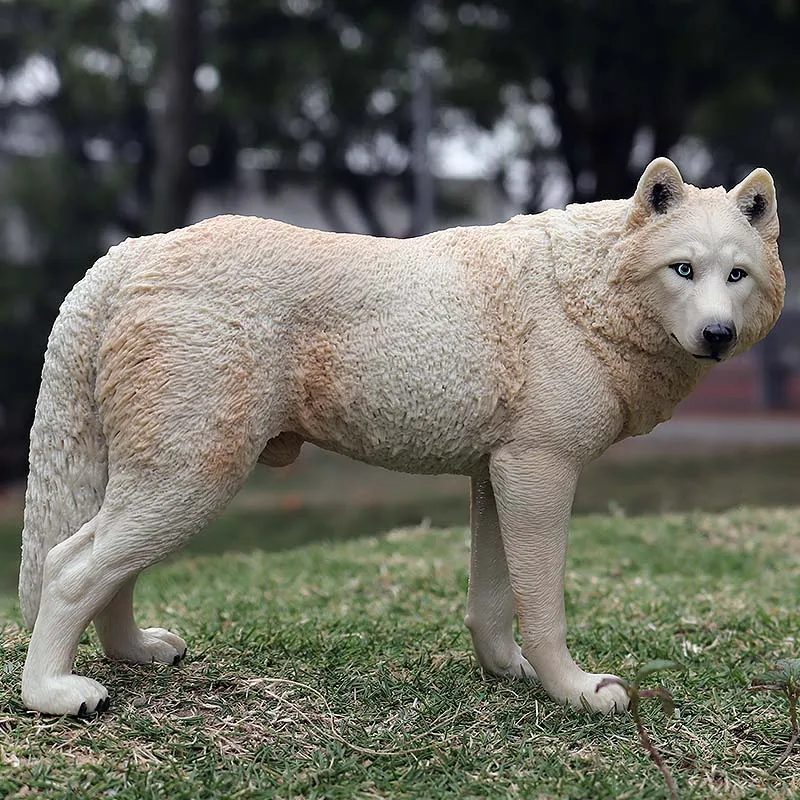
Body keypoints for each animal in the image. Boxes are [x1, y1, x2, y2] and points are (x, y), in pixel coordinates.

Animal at [15, 158, 784, 720]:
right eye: (682, 269)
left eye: (736, 275)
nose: (718, 334)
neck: (586, 291)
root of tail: (126, 254)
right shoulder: (540, 470)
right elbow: (544, 606)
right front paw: (574, 690)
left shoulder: (496, 474)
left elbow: (492, 603)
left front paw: (508, 673)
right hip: (192, 478)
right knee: (70, 567)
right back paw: (53, 695)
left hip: (165, 478)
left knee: (106, 570)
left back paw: (134, 653)